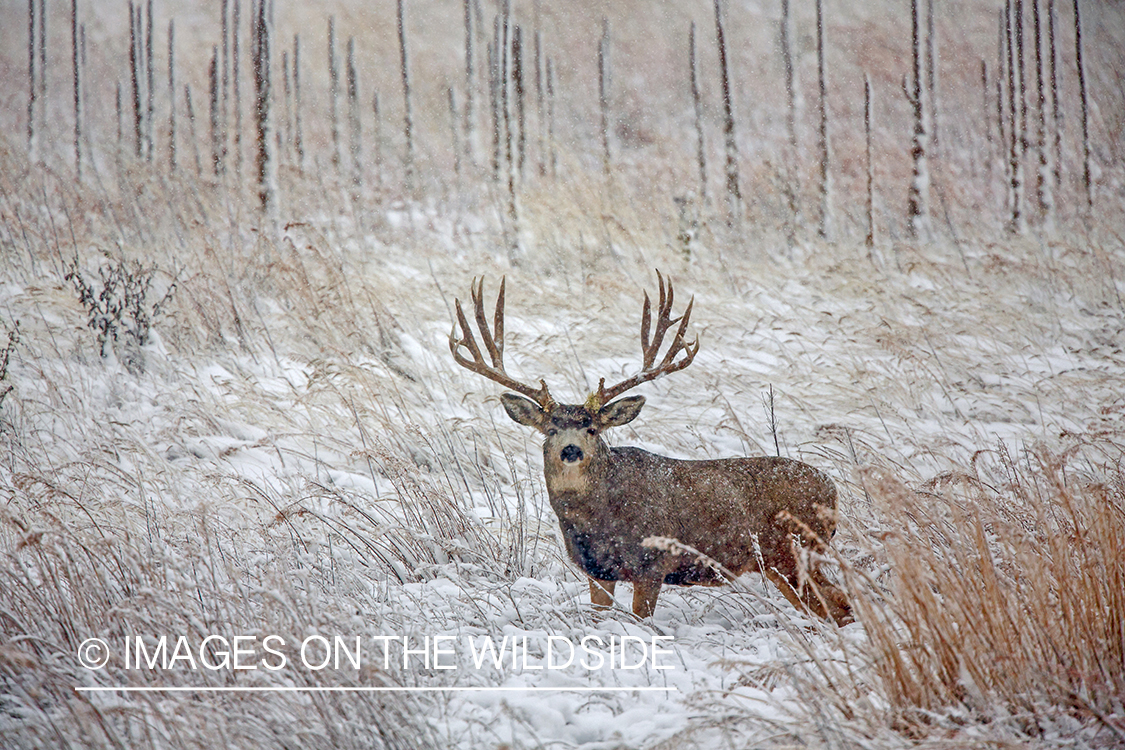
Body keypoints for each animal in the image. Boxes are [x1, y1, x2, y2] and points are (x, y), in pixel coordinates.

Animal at [447, 273, 850, 625]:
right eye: (550, 429)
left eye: (592, 428)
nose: (571, 450)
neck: (597, 522)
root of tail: (832, 489)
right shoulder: (596, 571)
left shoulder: (652, 563)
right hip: (784, 562)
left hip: (796, 550)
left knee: (840, 605)